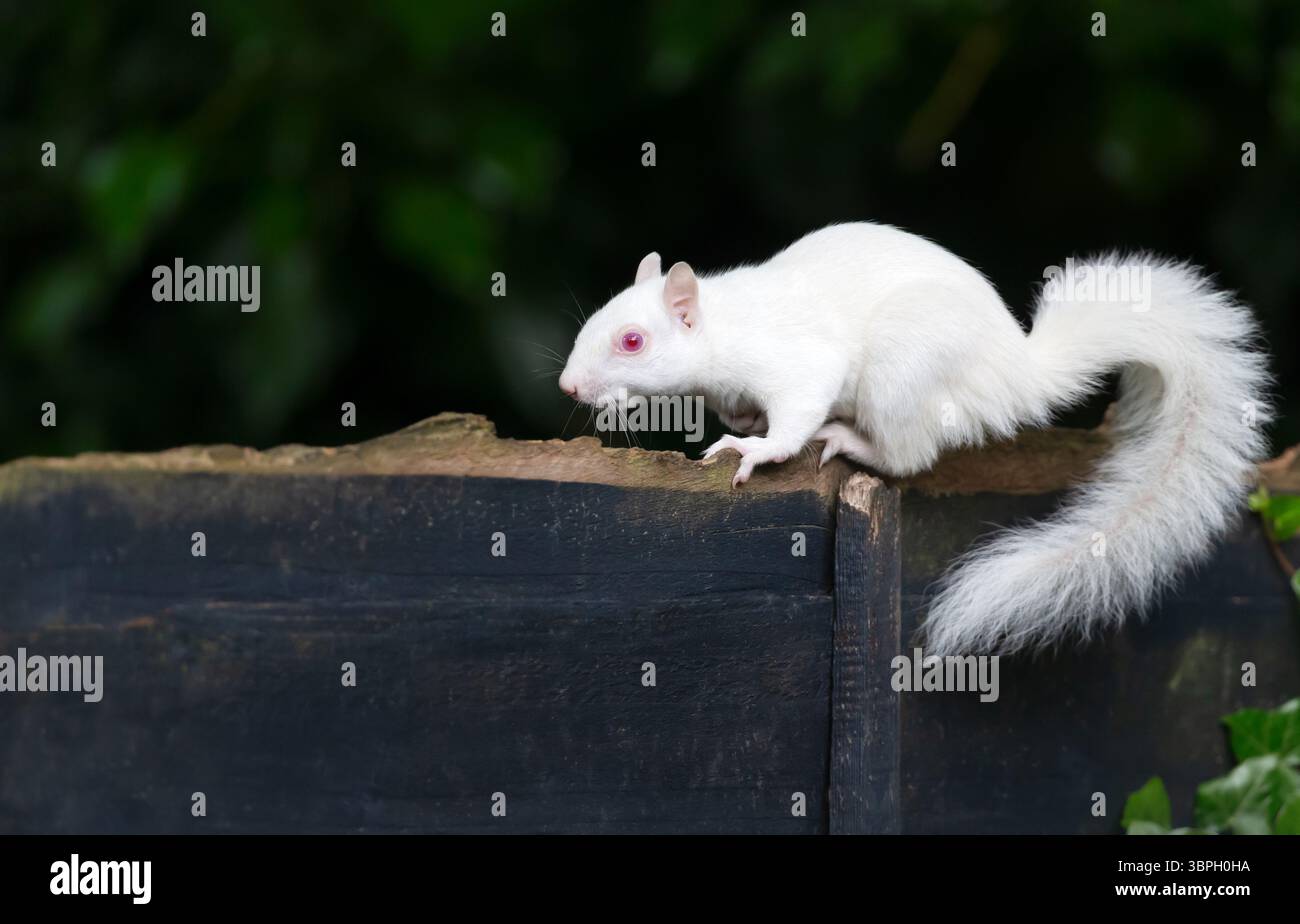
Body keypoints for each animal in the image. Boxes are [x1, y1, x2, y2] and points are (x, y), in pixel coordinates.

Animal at [558, 223, 1272, 655]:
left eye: (632, 341)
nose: (569, 387)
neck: (723, 325)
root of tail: (1013, 376)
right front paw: (742, 424)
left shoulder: (795, 363)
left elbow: (792, 419)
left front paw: (754, 450)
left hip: (901, 371)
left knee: (909, 454)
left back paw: (851, 441)